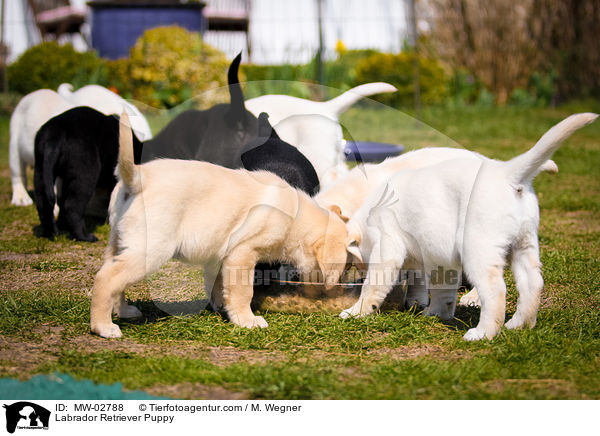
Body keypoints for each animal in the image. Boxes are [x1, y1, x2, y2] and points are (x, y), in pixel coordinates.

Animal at [91, 110, 350, 338]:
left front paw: (221, 307)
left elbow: (218, 285)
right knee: (106, 278)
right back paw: (103, 327)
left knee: (112, 274)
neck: (296, 216)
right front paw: (247, 320)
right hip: (151, 248)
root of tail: (137, 178)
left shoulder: (220, 254)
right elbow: (243, 291)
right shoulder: (242, 254)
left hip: (119, 240)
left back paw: (123, 311)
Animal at [340, 114, 596, 342]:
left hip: (479, 249)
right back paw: (519, 324)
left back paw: (483, 333)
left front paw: (355, 312)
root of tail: (507, 173)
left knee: (496, 291)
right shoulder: (439, 258)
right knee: (532, 284)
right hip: (524, 243)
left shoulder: (387, 244)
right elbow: (443, 292)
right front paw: (435, 314)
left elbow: (373, 286)